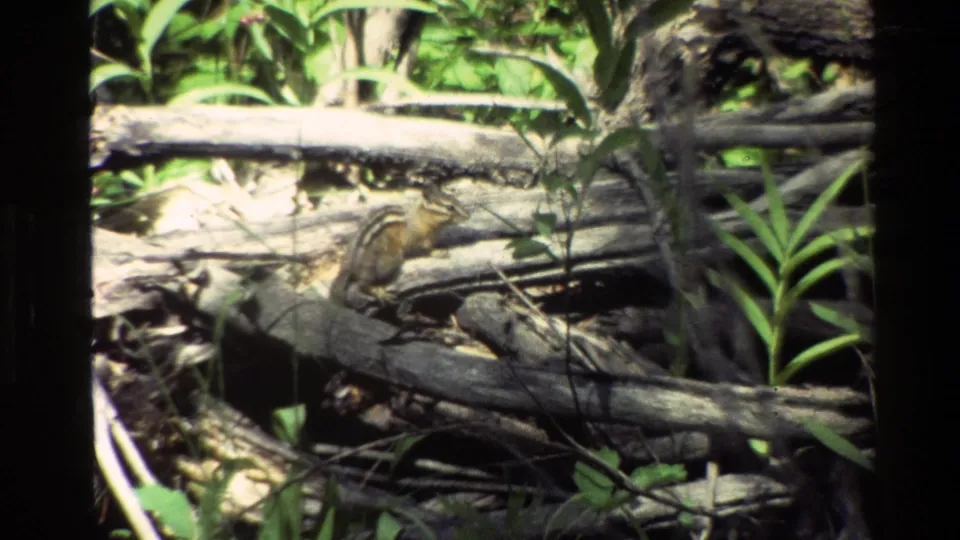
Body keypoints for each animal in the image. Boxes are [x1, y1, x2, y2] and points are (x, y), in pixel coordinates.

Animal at [328, 183, 470, 307]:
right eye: (450, 207)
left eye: (456, 199)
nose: (468, 215)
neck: (420, 217)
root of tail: (350, 267)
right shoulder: (414, 237)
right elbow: (424, 247)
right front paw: (438, 252)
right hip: (387, 261)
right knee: (362, 284)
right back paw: (379, 292)